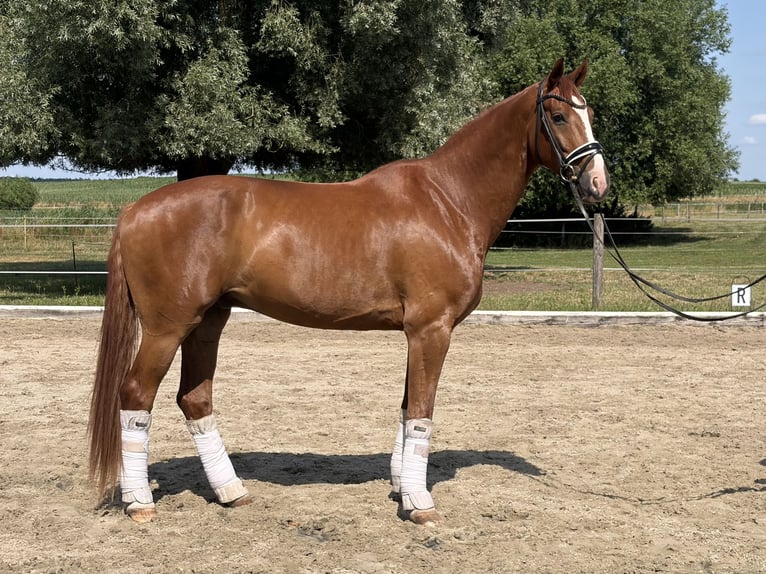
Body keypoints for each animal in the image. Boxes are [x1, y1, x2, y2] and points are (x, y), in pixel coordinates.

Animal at [88, 58, 609, 525]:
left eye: (589, 114)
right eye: (559, 116)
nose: (597, 183)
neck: (448, 201)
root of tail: (135, 209)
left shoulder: (416, 333)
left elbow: (407, 408)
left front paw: (403, 488)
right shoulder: (432, 329)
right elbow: (422, 412)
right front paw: (420, 505)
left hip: (208, 321)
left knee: (194, 399)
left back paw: (231, 491)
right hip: (167, 327)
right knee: (136, 396)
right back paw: (140, 502)